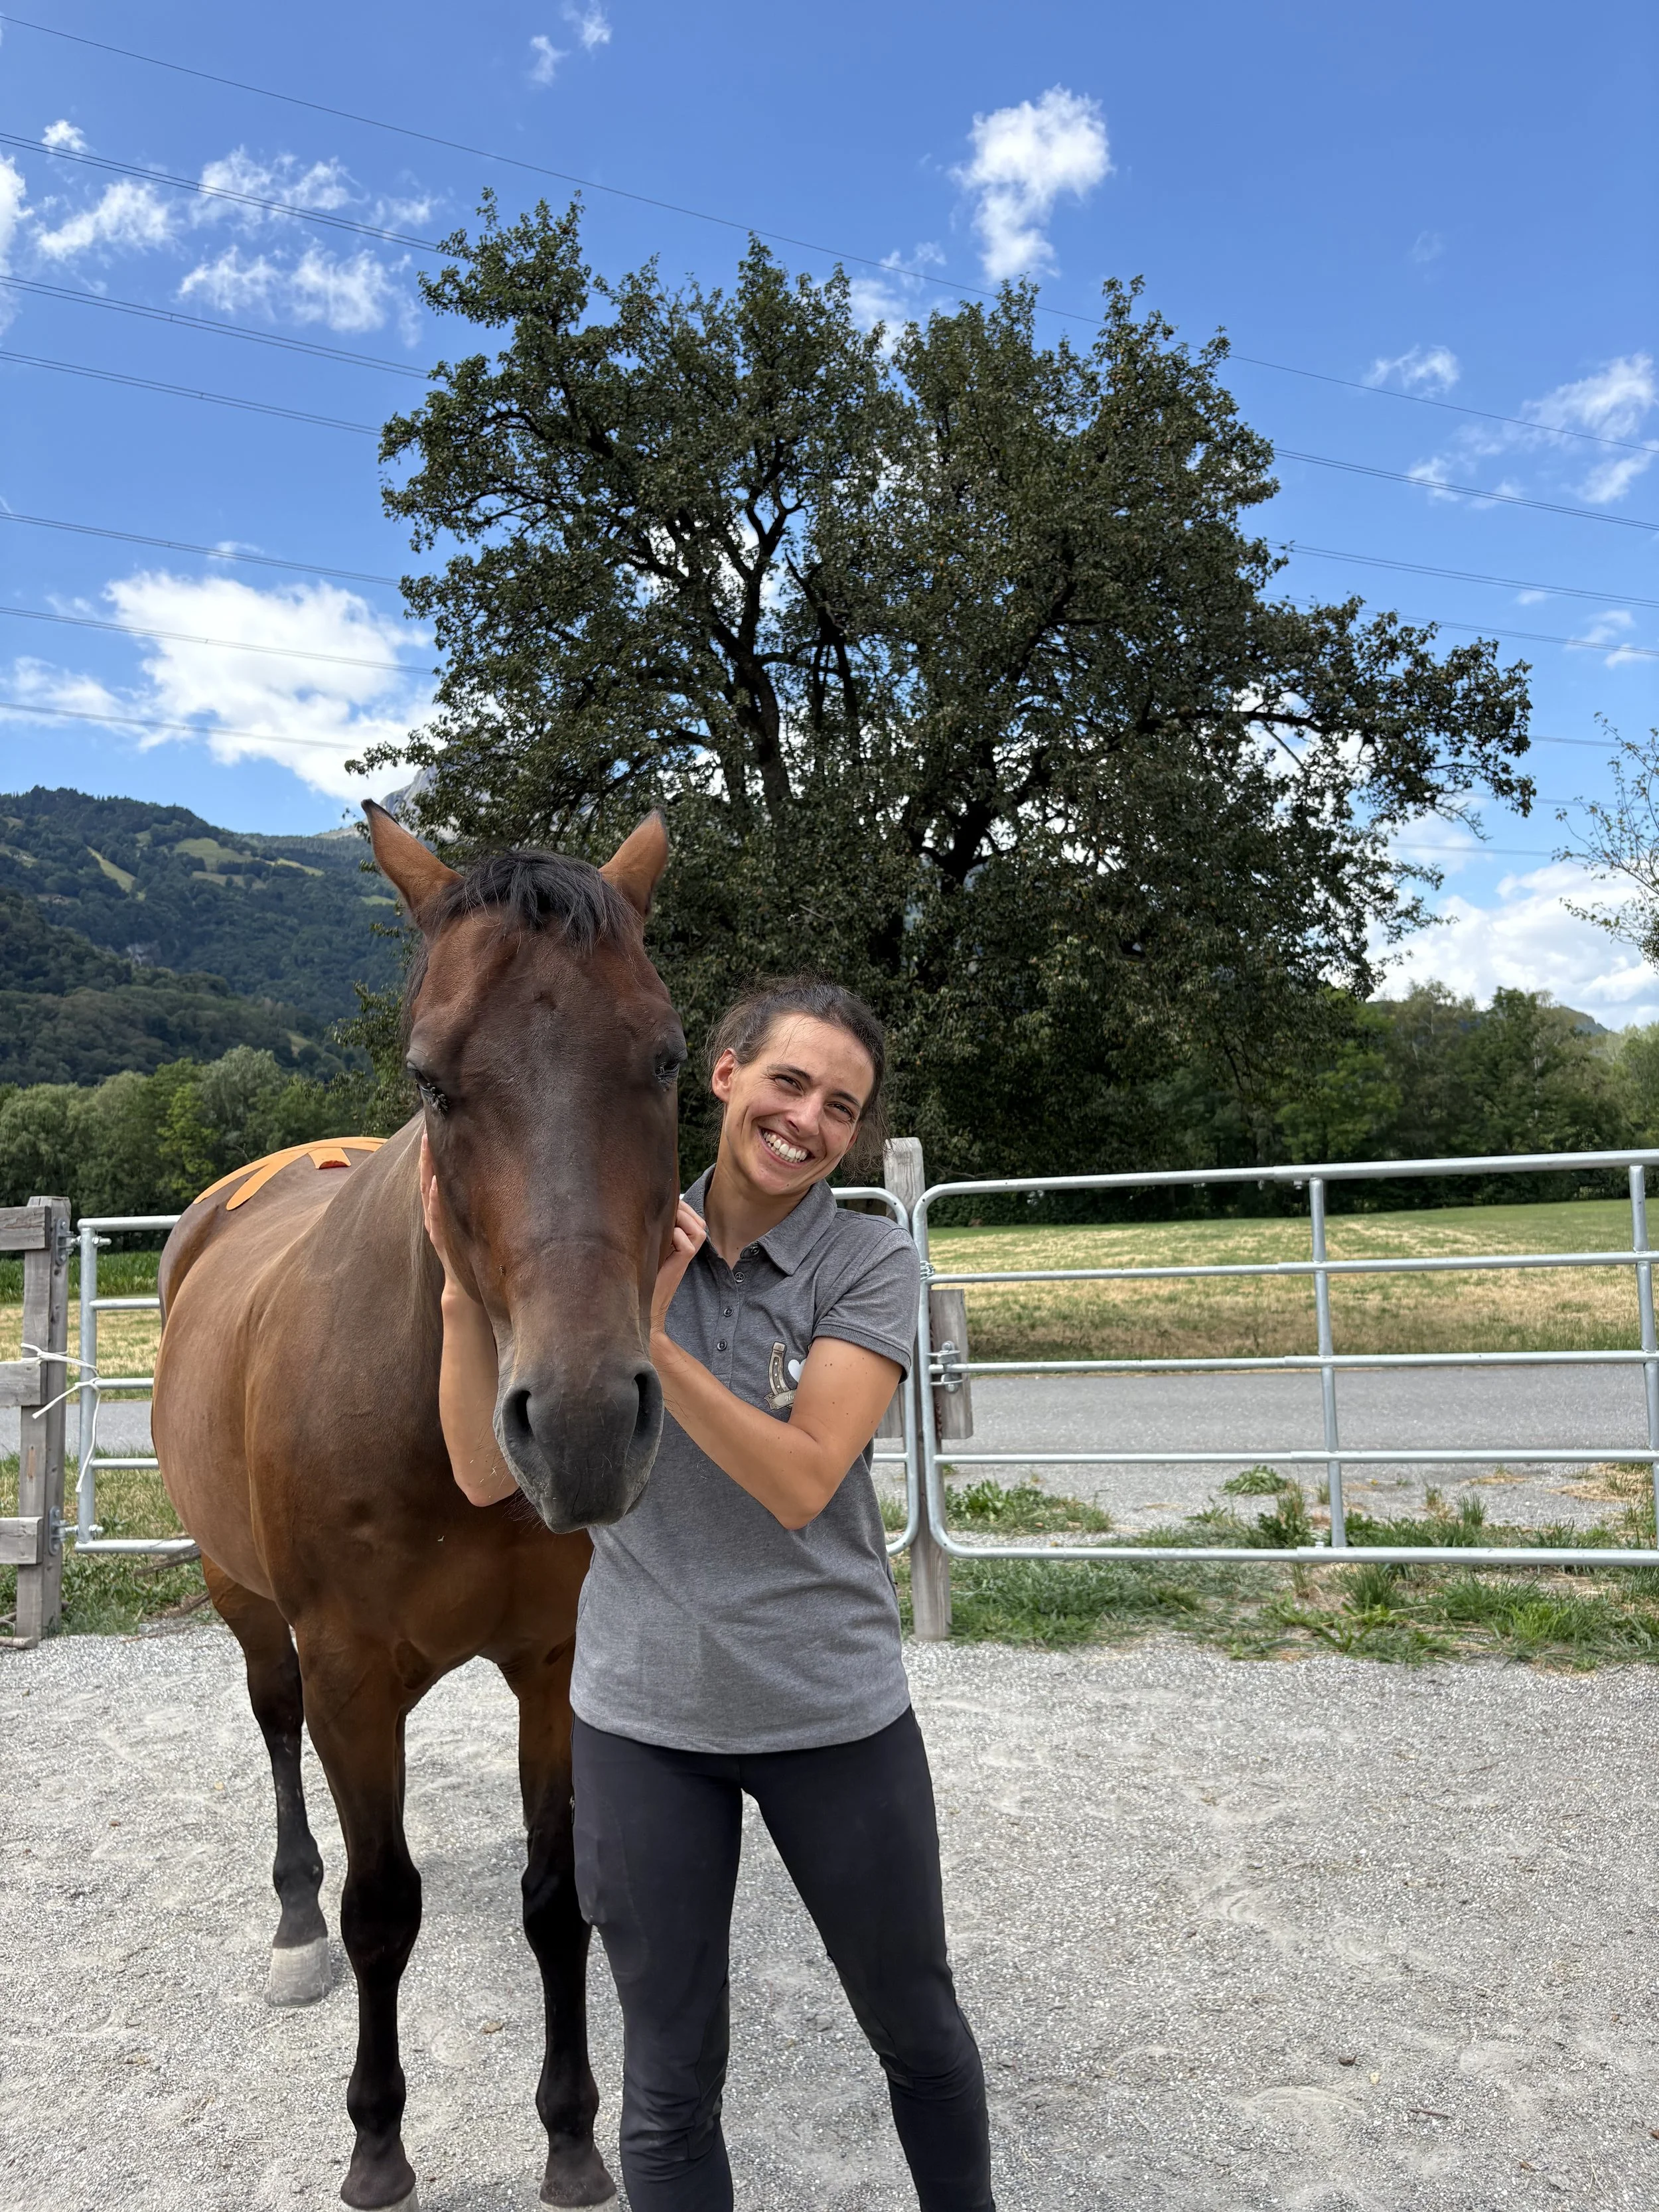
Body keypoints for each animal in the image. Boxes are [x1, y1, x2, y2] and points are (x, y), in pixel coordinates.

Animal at [152, 804, 683, 2212]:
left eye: (668, 1058)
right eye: (433, 1078)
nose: (584, 1419)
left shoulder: (552, 1662)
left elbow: (558, 1899)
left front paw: (571, 2135)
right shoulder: (349, 1669)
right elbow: (383, 1906)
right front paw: (378, 2141)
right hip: (246, 1601)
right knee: (275, 1729)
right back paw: (292, 1922)